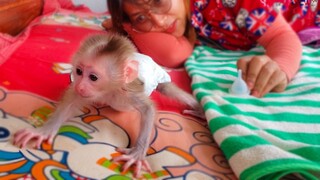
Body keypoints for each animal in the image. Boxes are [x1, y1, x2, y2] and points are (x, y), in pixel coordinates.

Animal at [13, 32, 204, 177]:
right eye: (79, 71)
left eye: (93, 77)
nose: (80, 86)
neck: (109, 91)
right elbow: (71, 102)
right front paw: (44, 131)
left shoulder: (129, 92)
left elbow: (147, 110)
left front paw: (137, 155)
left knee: (169, 90)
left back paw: (199, 110)